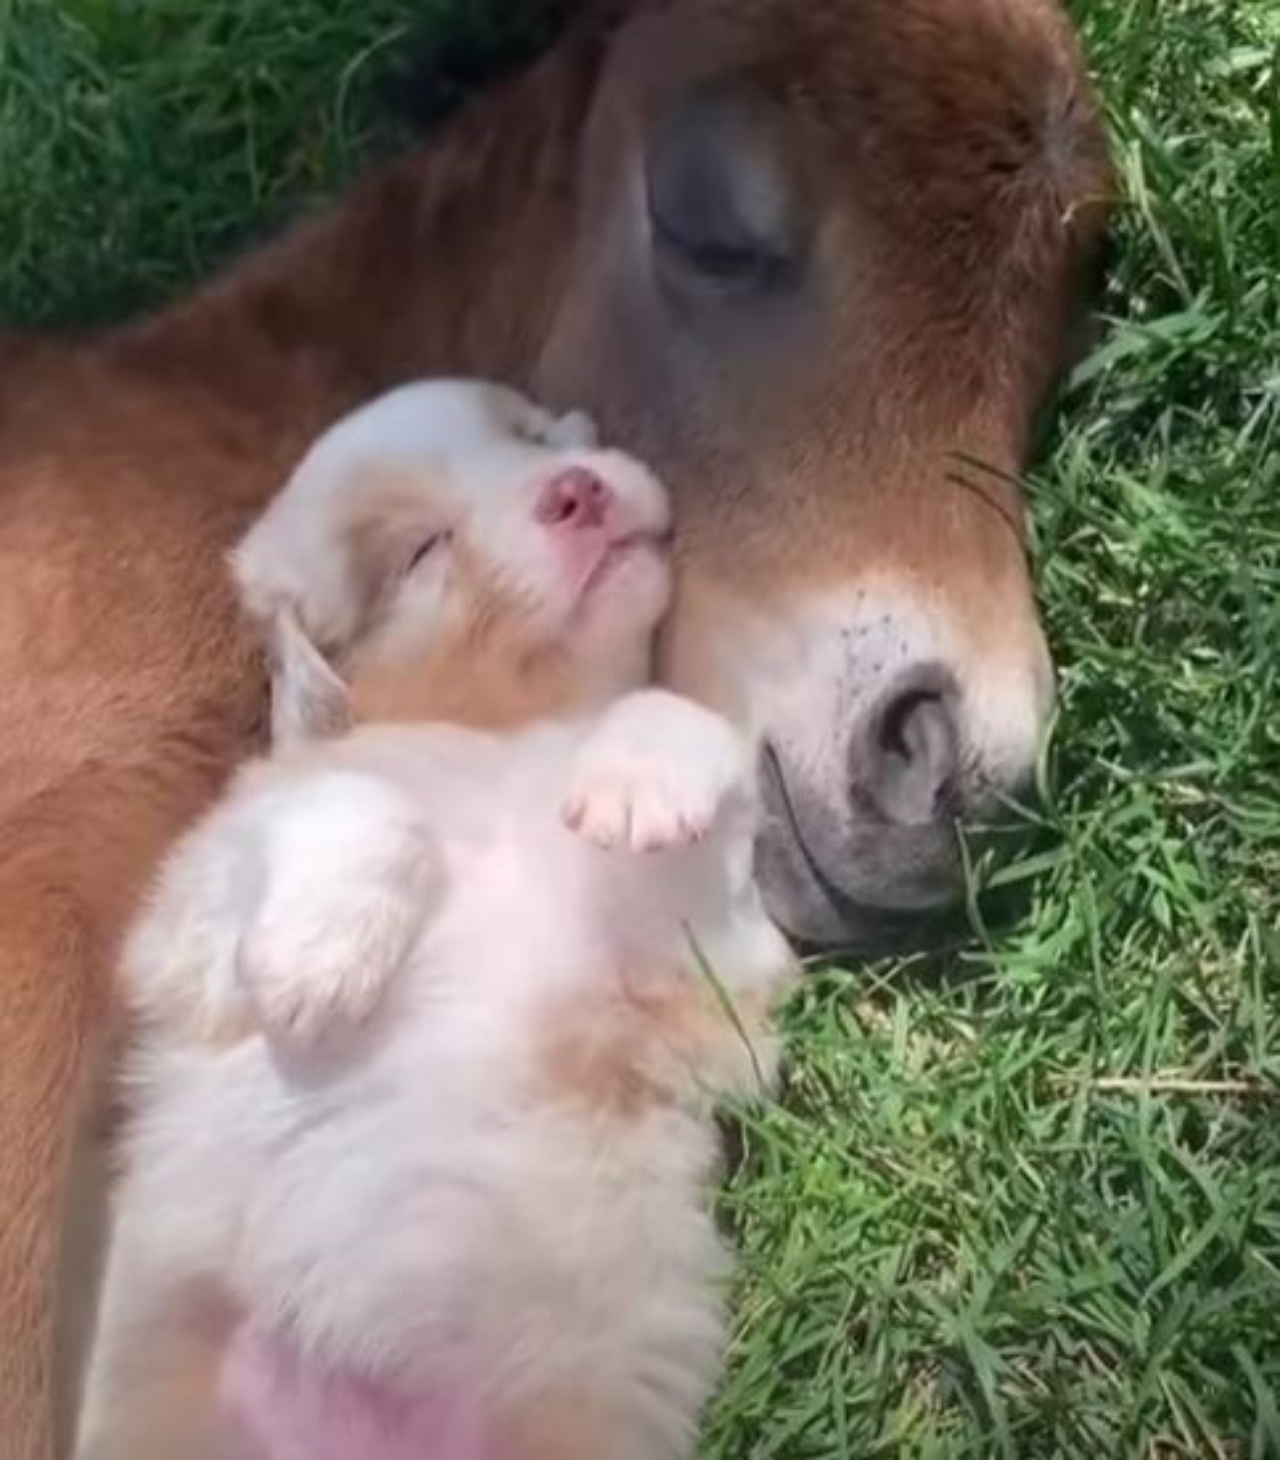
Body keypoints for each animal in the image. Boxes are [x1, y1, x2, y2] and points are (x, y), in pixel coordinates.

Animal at [74, 379, 793, 1460]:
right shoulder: (193, 905)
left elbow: (671, 728)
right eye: (422, 551)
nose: (575, 490)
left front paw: (640, 773)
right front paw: (321, 960)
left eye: (532, 436)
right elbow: (362, 802)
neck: (504, 733)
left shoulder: (699, 972)